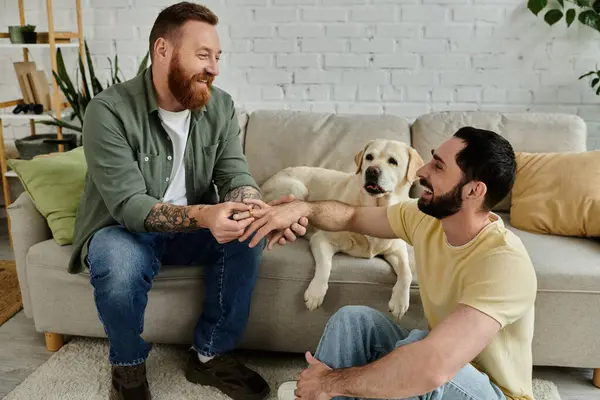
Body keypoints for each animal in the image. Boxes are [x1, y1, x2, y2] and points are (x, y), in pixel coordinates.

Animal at [260, 139, 424, 320]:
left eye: (393, 161)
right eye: (369, 157)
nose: (371, 171)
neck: (373, 207)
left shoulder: (397, 249)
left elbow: (407, 272)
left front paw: (400, 302)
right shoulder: (322, 239)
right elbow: (326, 265)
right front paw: (315, 293)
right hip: (297, 189)